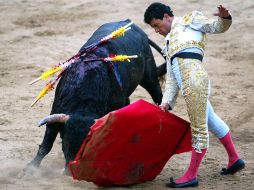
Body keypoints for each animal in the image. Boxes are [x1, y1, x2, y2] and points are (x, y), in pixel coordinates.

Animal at [22, 19, 166, 175]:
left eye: (85, 146)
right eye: (65, 142)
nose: (69, 172)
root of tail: (129, 22)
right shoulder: (56, 111)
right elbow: (46, 145)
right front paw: (29, 170)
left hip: (149, 76)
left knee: (158, 95)